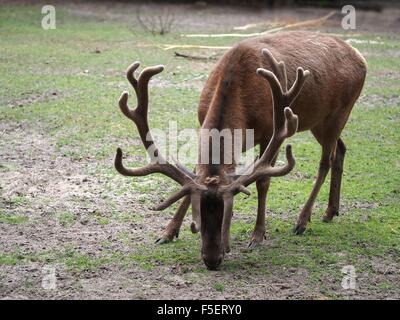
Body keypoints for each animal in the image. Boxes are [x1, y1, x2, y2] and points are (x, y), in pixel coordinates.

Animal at [113, 30, 366, 270]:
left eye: (228, 214)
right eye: (198, 218)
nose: (212, 260)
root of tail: (360, 57)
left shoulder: (271, 131)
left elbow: (263, 182)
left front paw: (257, 235)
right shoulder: (202, 122)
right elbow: (194, 176)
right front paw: (167, 232)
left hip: (339, 112)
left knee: (326, 161)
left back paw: (303, 221)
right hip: (317, 122)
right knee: (341, 149)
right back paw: (331, 211)